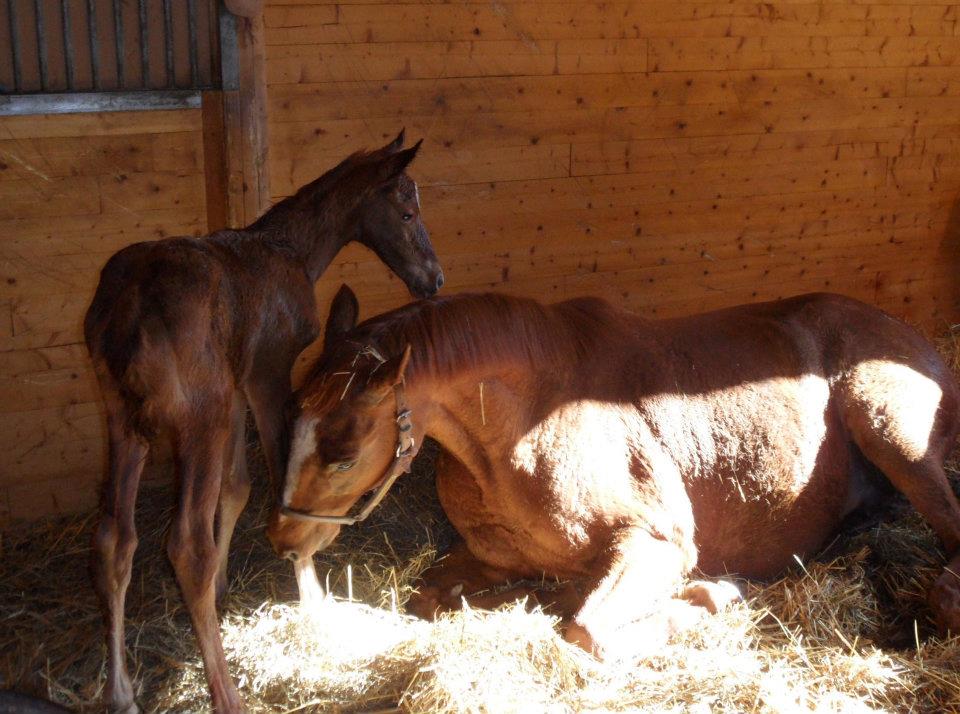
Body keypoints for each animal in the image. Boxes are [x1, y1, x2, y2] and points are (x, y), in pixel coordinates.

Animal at [82, 134, 442, 712]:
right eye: (407, 212)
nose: (434, 278)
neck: (290, 251)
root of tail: (132, 306)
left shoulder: (236, 388)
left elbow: (237, 487)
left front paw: (226, 587)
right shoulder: (269, 373)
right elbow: (278, 470)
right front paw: (309, 587)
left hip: (123, 418)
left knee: (114, 538)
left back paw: (120, 692)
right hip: (197, 420)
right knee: (184, 545)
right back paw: (226, 693)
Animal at [266, 286, 960, 652]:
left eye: (342, 457)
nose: (284, 538)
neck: (517, 433)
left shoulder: (657, 542)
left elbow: (587, 629)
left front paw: (712, 595)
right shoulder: (487, 557)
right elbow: (430, 598)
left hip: (893, 435)